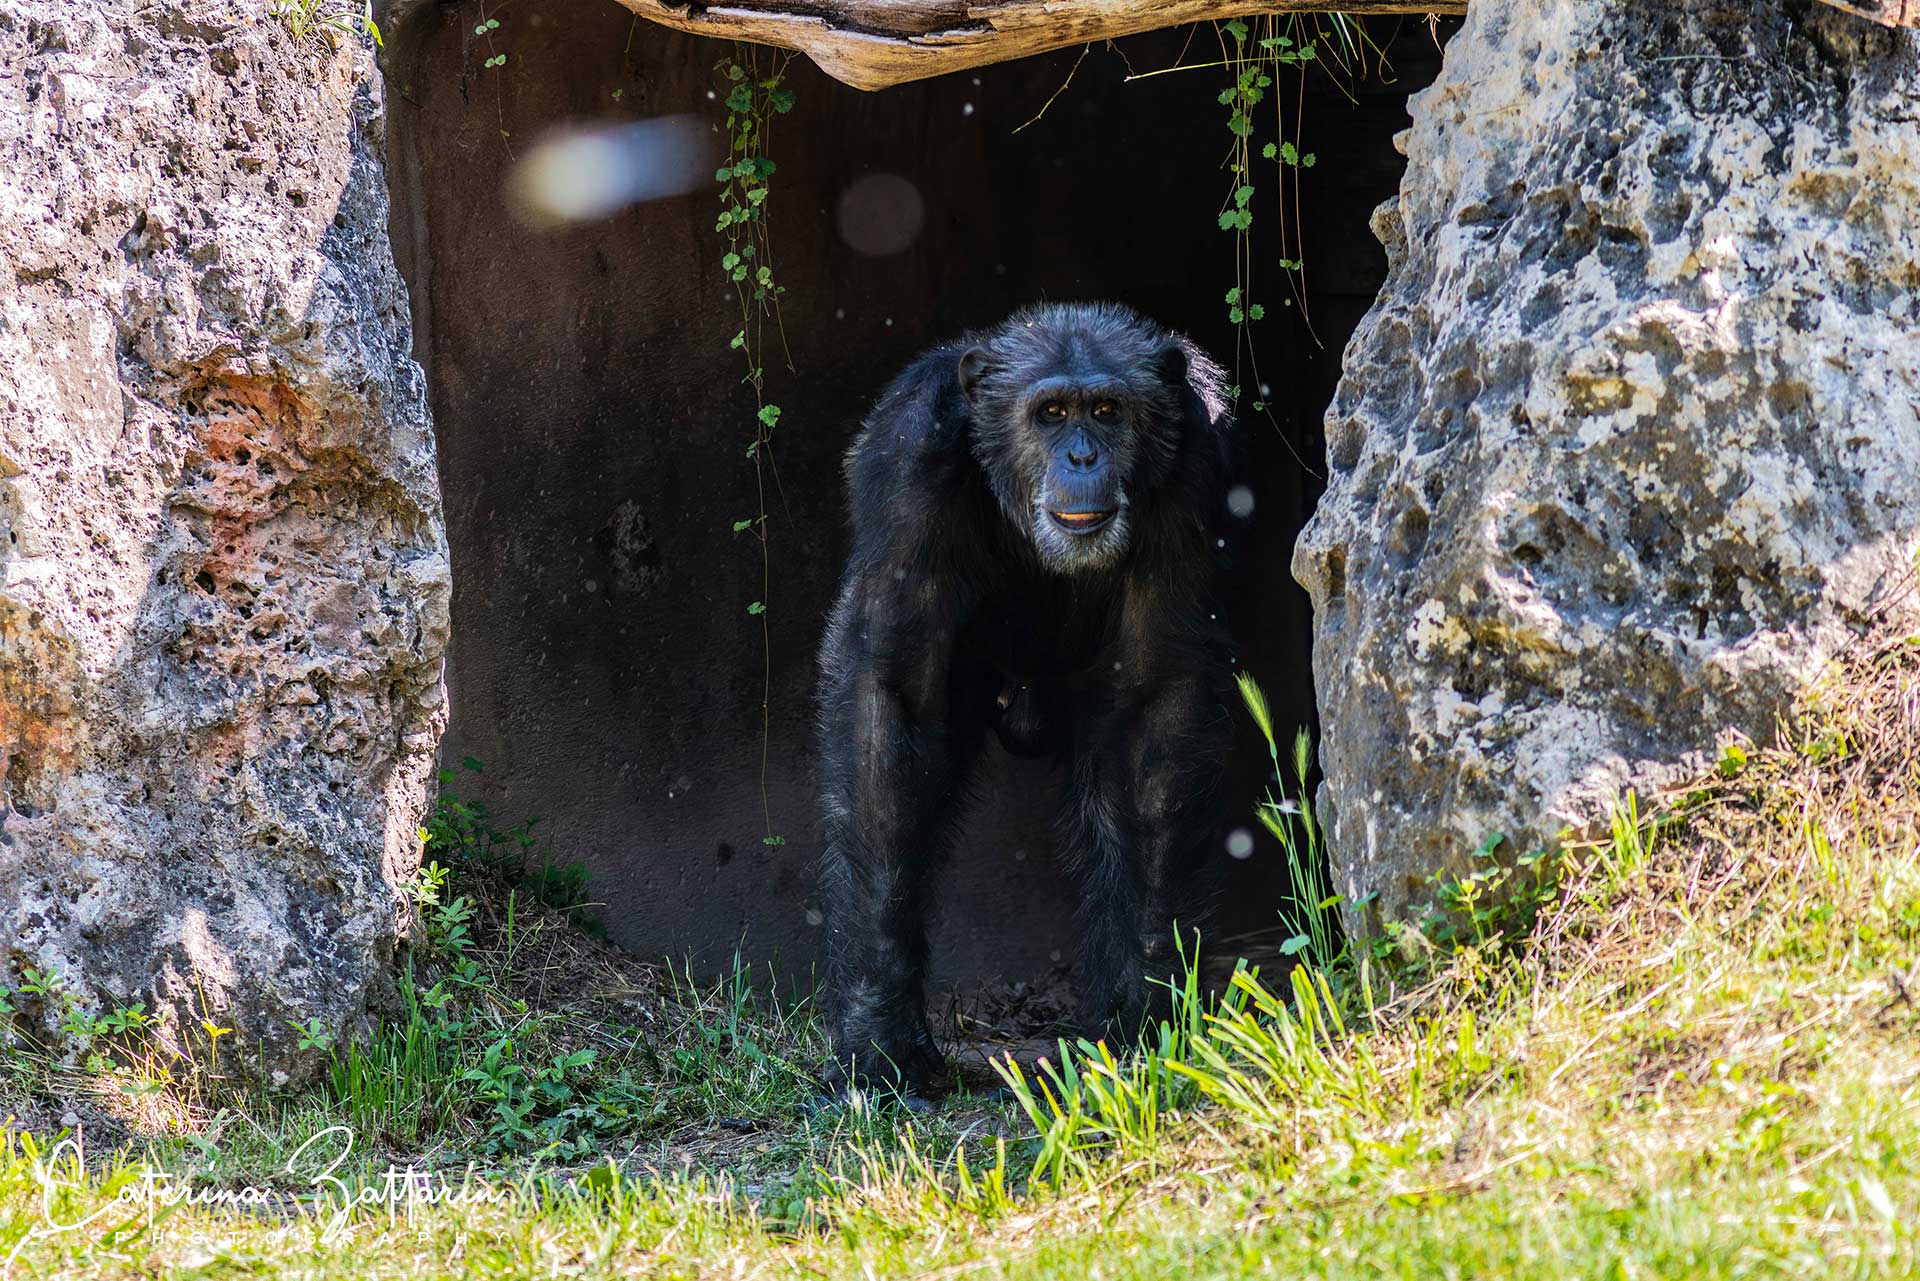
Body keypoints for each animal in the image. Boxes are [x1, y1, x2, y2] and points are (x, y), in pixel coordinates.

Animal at [813, 302, 1235, 1098]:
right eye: (1051, 413)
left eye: (1107, 412)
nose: (1082, 458)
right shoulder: (909, 461)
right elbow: (893, 691)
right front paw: (879, 1036)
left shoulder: (1195, 464)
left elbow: (1158, 700)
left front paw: (1153, 1006)